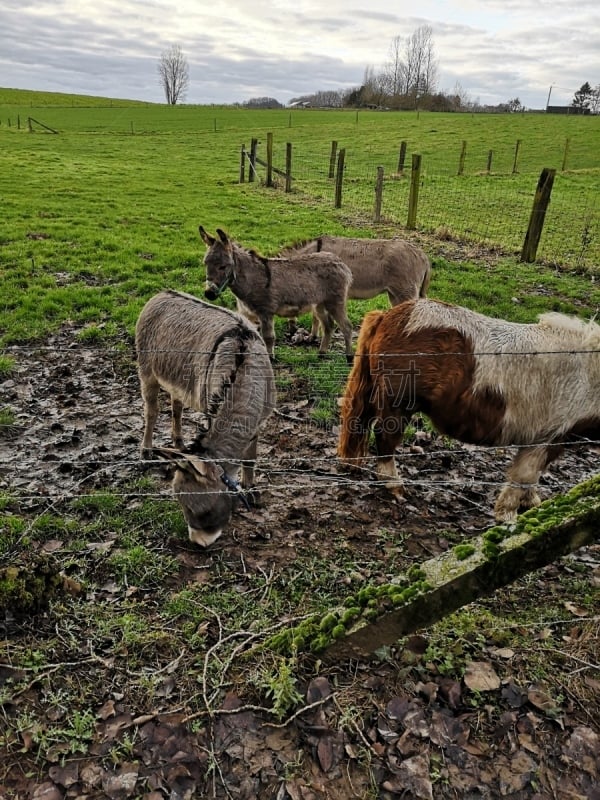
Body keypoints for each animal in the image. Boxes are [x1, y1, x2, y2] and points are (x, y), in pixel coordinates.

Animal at [338, 298, 600, 520]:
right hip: (398, 405)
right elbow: (524, 476)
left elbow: (532, 476)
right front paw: (508, 516)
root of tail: (389, 316)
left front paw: (532, 503)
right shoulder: (547, 438)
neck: (587, 373)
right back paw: (394, 485)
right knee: (385, 440)